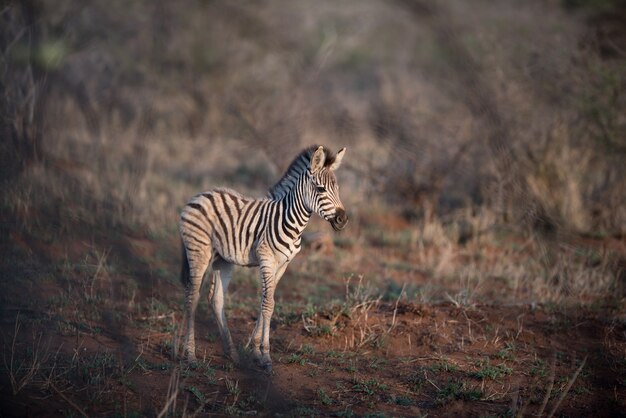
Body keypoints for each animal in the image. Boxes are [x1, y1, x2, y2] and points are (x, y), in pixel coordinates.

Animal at [179, 145, 346, 370]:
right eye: (320, 189)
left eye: (337, 189)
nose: (343, 219)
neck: (290, 220)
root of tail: (199, 195)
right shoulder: (266, 259)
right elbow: (267, 305)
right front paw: (264, 355)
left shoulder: (283, 265)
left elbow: (267, 302)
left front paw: (255, 350)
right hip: (198, 250)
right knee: (192, 295)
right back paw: (190, 356)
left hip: (223, 260)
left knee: (216, 299)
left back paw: (231, 353)